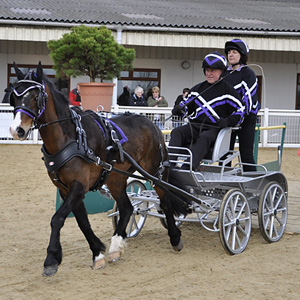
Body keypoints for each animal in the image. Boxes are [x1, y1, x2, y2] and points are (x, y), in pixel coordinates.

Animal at [8, 62, 188, 278]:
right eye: (14, 96)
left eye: (36, 97)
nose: (17, 130)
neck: (71, 137)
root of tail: (151, 124)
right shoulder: (65, 189)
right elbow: (82, 222)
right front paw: (98, 253)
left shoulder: (79, 186)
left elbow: (57, 218)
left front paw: (51, 259)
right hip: (116, 178)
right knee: (127, 207)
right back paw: (116, 246)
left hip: (154, 172)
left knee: (165, 201)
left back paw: (175, 238)